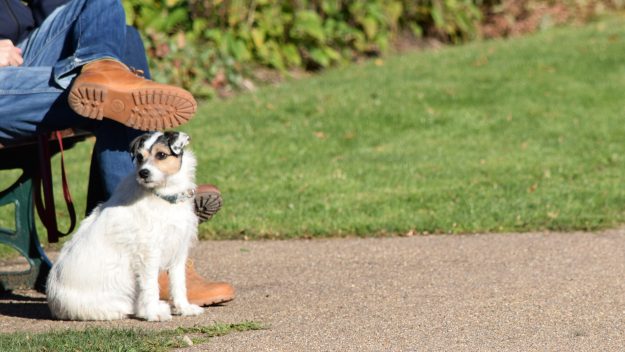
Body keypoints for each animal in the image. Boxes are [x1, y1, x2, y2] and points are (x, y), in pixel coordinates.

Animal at [46, 131, 202, 320]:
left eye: (161, 155)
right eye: (140, 156)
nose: (143, 173)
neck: (162, 195)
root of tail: (54, 302)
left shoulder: (178, 249)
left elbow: (178, 284)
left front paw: (184, 308)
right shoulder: (148, 254)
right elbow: (151, 287)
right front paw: (153, 313)